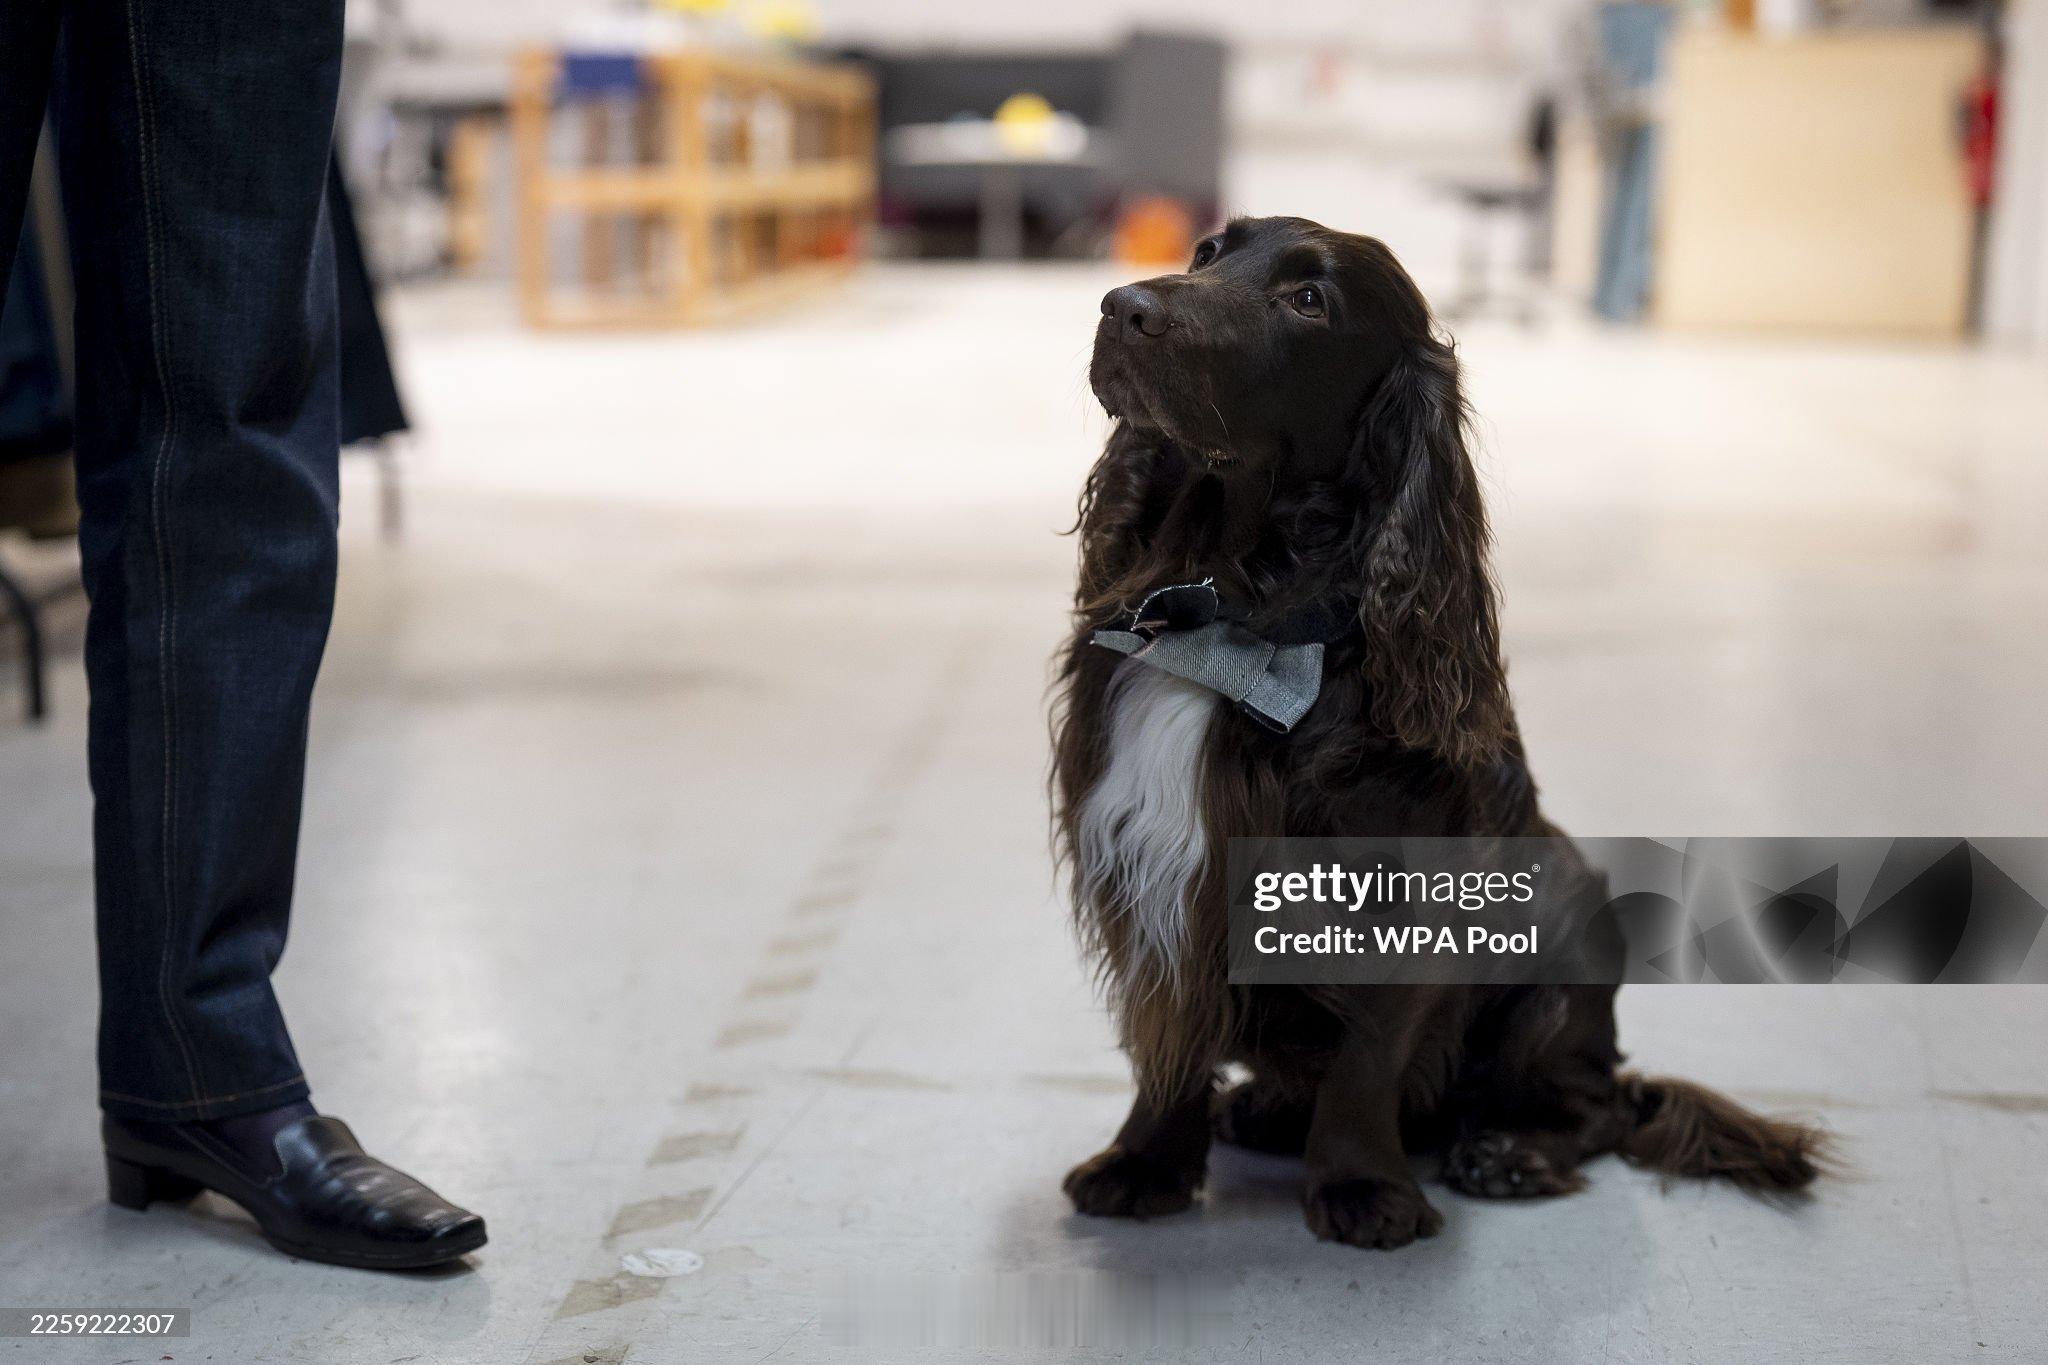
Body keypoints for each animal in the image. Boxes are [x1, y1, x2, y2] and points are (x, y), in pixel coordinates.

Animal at [1050, 217, 1827, 1249]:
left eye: (1310, 301)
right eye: (1210, 251)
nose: (1122, 307)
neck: (1231, 616)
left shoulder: (1399, 894)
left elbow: (1367, 1061)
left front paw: (1360, 1187)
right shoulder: (1144, 865)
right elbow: (1165, 1041)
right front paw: (1143, 1162)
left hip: (1569, 927)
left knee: (1597, 1102)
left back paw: (1510, 1151)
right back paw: (1265, 1107)